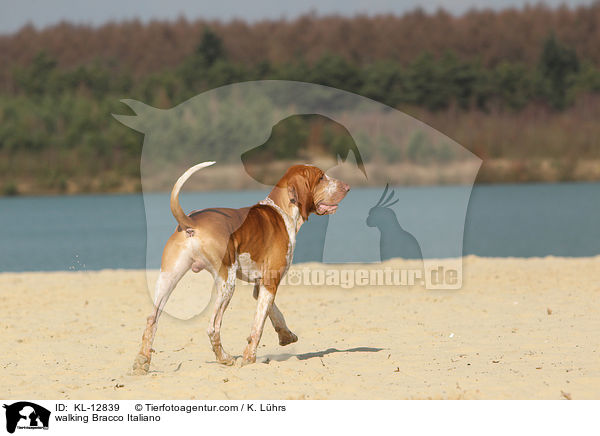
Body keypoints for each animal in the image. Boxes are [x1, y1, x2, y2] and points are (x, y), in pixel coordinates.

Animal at [134, 162, 350, 372]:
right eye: (321, 177)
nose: (347, 187)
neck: (281, 210)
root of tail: (191, 221)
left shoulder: (262, 285)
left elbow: (274, 313)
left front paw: (286, 335)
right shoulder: (270, 282)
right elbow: (257, 327)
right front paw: (249, 358)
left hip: (167, 279)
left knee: (151, 319)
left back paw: (142, 362)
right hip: (227, 284)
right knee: (213, 327)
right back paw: (225, 359)